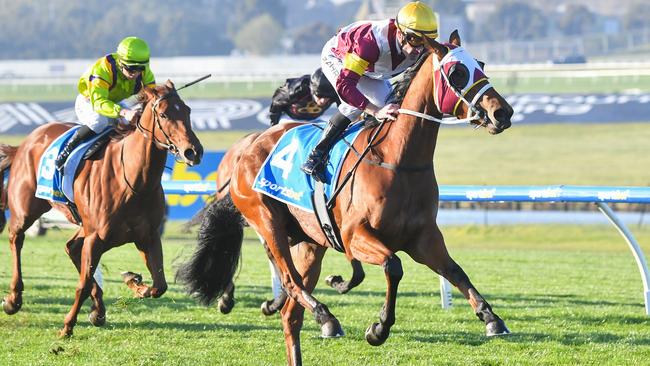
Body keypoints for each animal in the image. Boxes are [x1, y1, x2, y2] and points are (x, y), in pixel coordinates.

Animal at [0, 80, 202, 338]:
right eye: (164, 114)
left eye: (187, 111)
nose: (193, 152)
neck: (134, 181)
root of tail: (25, 143)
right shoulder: (96, 237)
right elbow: (83, 284)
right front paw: (67, 326)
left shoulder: (147, 236)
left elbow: (159, 286)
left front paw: (134, 282)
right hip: (26, 210)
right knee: (16, 239)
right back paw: (13, 299)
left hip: (83, 224)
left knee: (71, 247)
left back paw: (99, 309)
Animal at [178, 33, 512, 364]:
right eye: (457, 72)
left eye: (481, 64)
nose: (502, 112)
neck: (397, 159)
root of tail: (245, 151)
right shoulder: (354, 236)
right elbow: (393, 266)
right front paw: (378, 328)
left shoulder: (424, 238)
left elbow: (455, 270)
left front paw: (491, 318)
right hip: (268, 222)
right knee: (289, 281)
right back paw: (326, 317)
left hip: (310, 243)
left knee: (291, 314)